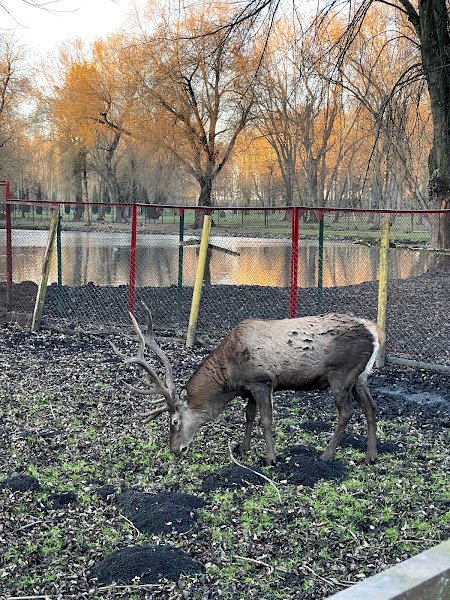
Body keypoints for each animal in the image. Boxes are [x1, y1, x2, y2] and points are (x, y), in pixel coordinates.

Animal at [110, 302, 384, 466]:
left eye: (174, 421)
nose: (175, 450)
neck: (230, 376)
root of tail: (375, 333)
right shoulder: (249, 389)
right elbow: (249, 416)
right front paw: (243, 449)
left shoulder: (262, 381)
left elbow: (266, 420)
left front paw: (271, 459)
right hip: (360, 377)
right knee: (371, 408)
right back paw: (371, 456)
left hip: (341, 374)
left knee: (346, 412)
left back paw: (326, 455)